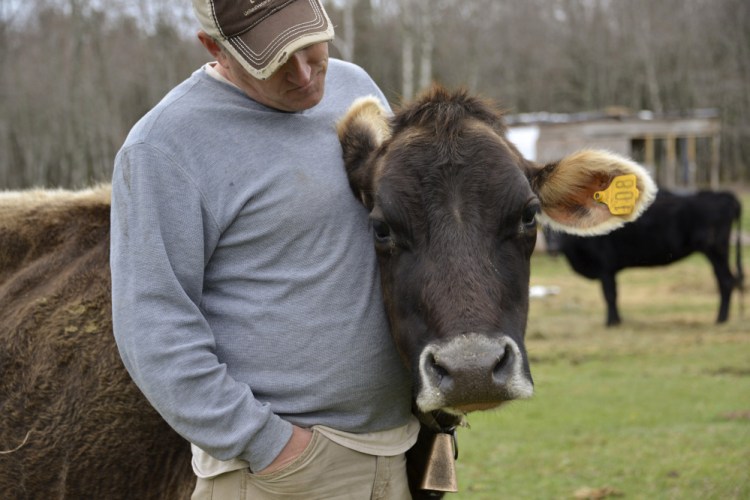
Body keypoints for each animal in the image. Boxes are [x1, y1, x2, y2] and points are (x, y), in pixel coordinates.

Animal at [548, 189, 748, 326]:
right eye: (546, 229)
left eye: (562, 229)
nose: (553, 248)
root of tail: (722, 195)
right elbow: (614, 294)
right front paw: (617, 320)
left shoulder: (605, 267)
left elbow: (610, 295)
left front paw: (611, 322)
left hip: (716, 251)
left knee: (726, 281)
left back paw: (720, 319)